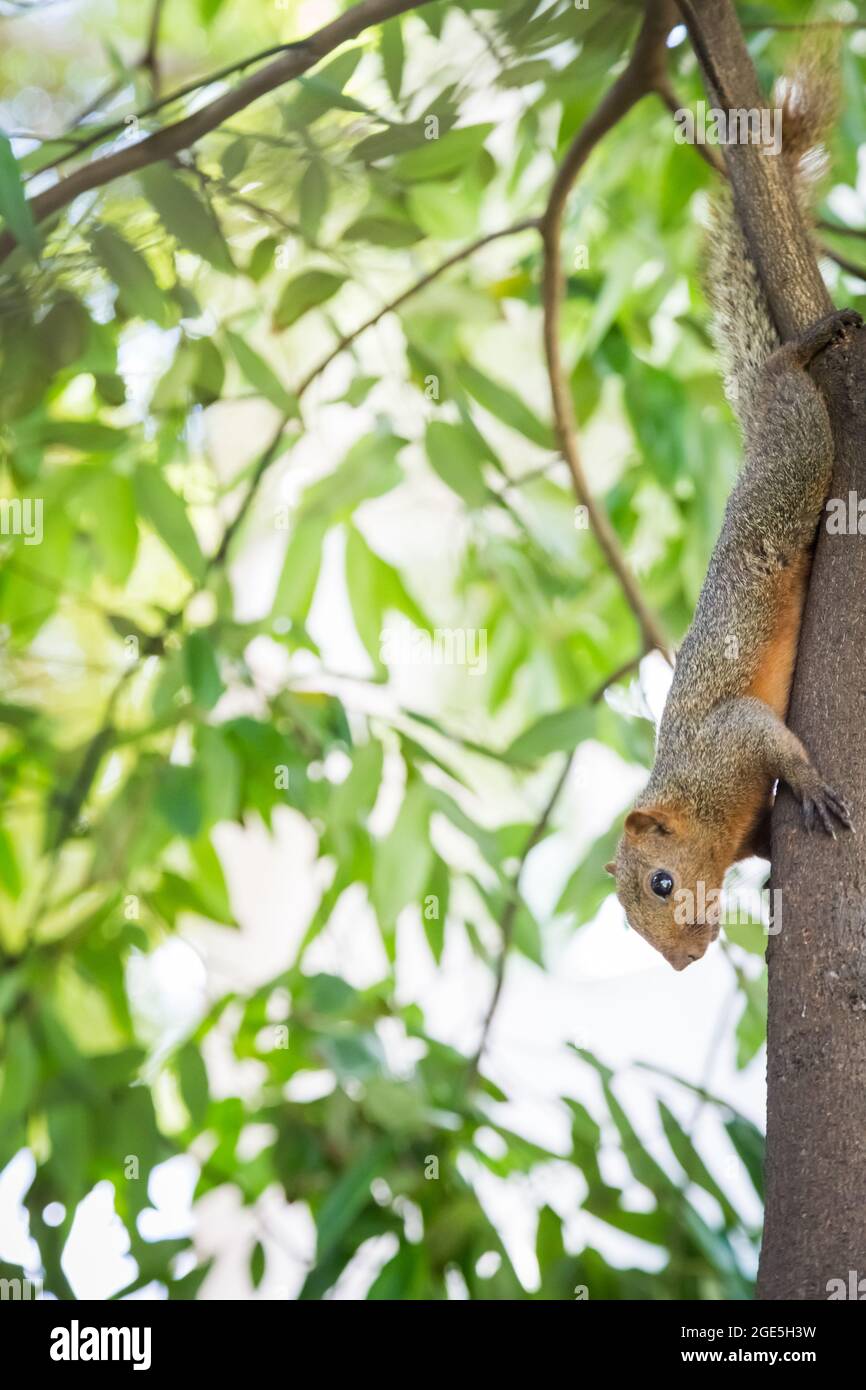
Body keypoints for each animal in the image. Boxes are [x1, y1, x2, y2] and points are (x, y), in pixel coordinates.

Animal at [605, 65, 860, 972]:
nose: (684, 959)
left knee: (786, 381)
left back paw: (806, 344)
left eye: (661, 883)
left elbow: (773, 740)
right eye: (631, 927)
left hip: (795, 458)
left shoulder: (729, 741)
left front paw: (814, 788)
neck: (694, 802)